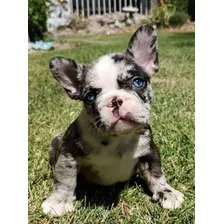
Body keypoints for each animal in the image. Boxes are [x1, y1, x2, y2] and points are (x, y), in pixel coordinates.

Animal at [41, 24, 184, 215]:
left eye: (138, 82)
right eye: (90, 97)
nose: (115, 100)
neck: (118, 138)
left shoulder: (150, 151)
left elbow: (155, 173)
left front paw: (166, 192)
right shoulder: (68, 154)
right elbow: (65, 179)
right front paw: (59, 201)